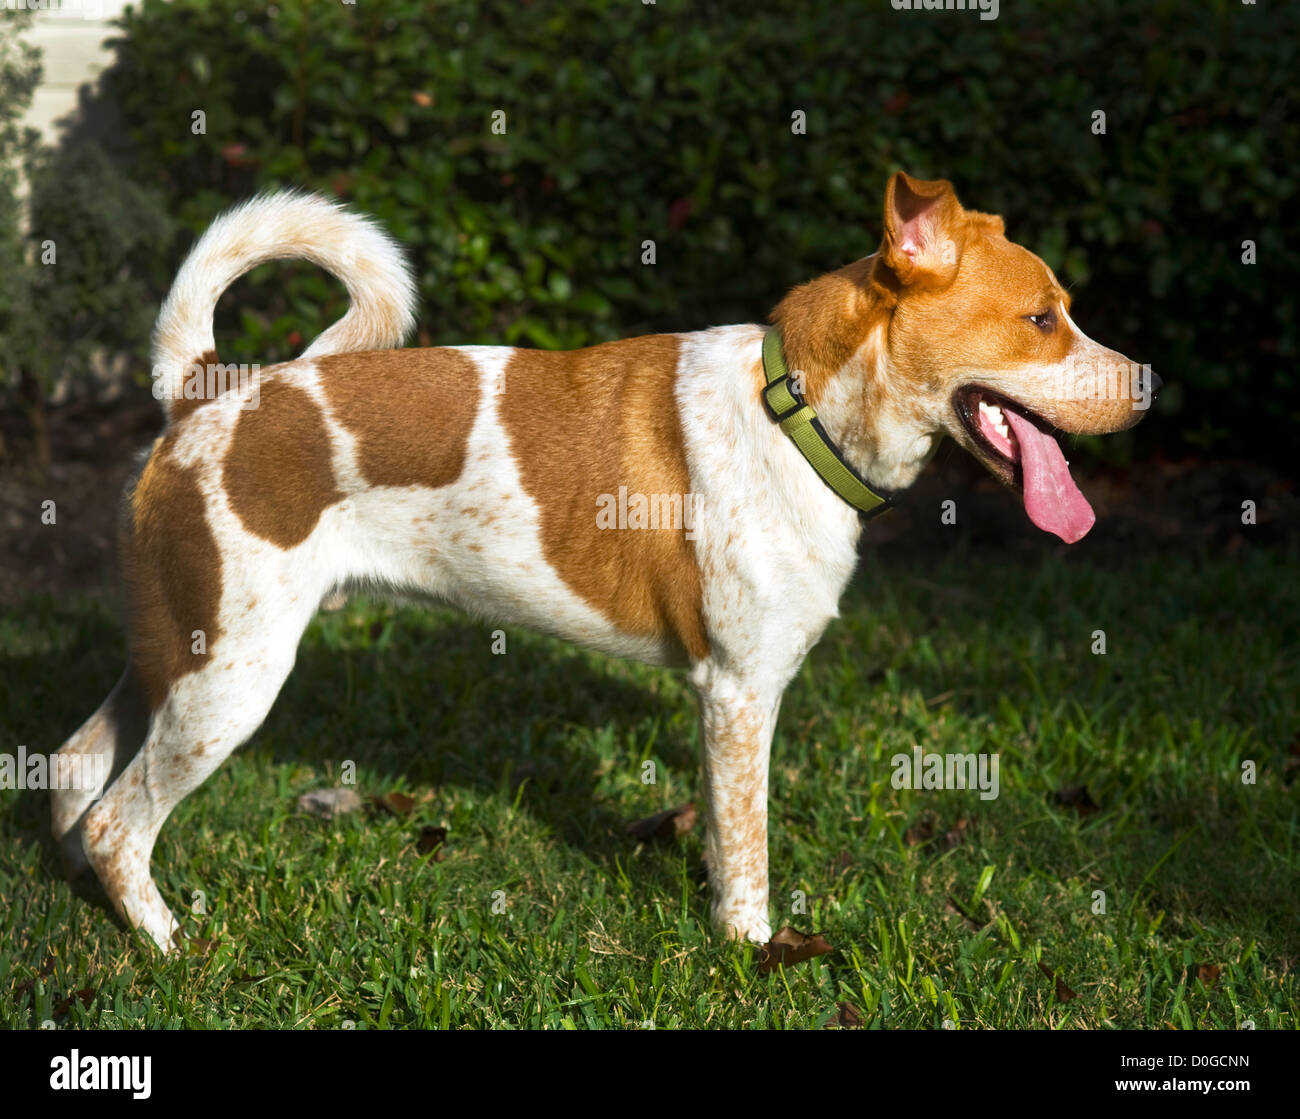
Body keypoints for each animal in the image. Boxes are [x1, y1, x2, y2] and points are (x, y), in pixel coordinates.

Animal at [50, 174, 1159, 951]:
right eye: (1042, 318)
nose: (1151, 382)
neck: (796, 410)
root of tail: (205, 391)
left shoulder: (725, 700)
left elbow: (720, 835)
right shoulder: (740, 691)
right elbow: (748, 854)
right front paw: (753, 953)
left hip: (176, 655)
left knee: (71, 773)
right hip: (232, 681)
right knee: (116, 823)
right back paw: (170, 944)